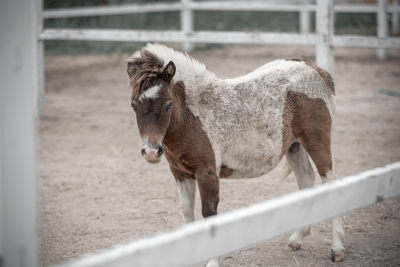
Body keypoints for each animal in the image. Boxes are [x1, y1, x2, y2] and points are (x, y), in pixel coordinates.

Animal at [126, 44, 344, 266]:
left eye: (168, 104)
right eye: (134, 105)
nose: (151, 152)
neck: (192, 116)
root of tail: (317, 70)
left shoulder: (207, 172)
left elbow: (209, 214)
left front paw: (212, 261)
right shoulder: (180, 172)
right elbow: (187, 210)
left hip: (317, 142)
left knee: (331, 182)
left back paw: (337, 249)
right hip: (294, 146)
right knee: (306, 180)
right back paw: (297, 239)